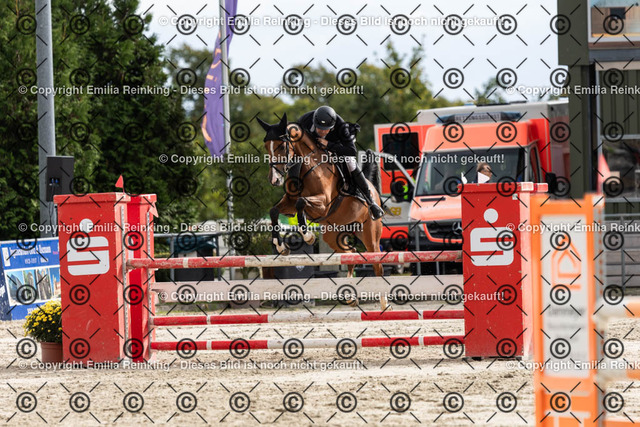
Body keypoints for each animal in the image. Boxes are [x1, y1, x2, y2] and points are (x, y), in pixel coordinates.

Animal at [257, 113, 389, 311]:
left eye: (281, 146)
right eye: (267, 147)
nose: (274, 180)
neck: (309, 165)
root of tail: (373, 190)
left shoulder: (324, 203)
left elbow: (302, 202)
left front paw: (308, 236)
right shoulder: (289, 202)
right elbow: (275, 211)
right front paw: (280, 246)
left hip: (370, 235)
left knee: (377, 265)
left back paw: (384, 304)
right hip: (332, 235)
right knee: (350, 254)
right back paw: (350, 296)